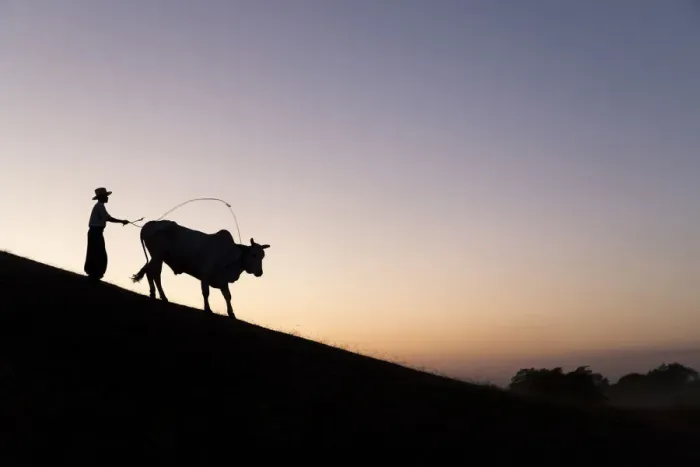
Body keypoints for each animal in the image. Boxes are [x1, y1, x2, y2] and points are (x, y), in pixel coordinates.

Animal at [131, 220, 270, 319]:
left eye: (263, 256)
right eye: (254, 255)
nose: (260, 272)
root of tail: (149, 224)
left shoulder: (223, 281)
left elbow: (228, 296)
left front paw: (231, 313)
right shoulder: (205, 275)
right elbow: (206, 293)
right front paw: (207, 309)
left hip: (157, 257)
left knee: (150, 272)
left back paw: (154, 294)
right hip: (157, 256)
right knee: (155, 274)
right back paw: (162, 296)